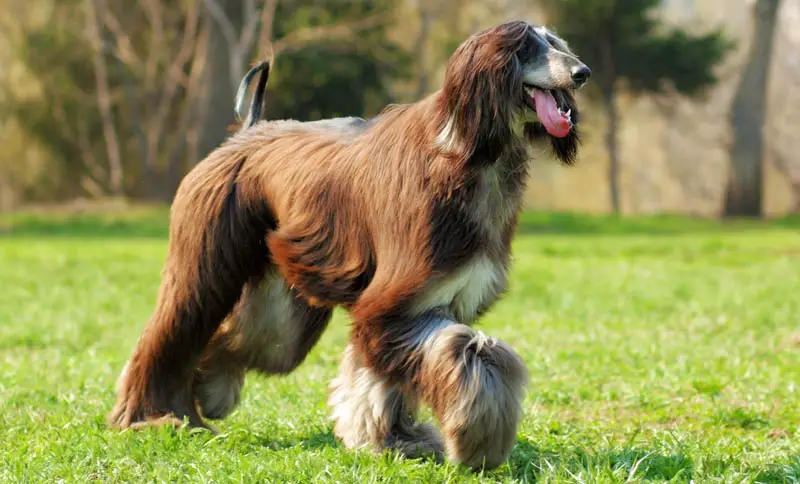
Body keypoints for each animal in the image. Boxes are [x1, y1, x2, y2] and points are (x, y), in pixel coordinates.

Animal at [108, 20, 588, 470]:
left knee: (245, 339)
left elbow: (385, 378)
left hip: (284, 303)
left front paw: (394, 440)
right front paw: (474, 442)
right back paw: (151, 417)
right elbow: (469, 356)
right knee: (171, 331)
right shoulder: (395, 300)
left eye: (555, 42)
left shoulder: (427, 302)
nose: (582, 73)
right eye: (525, 48)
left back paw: (208, 391)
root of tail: (246, 133)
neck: (471, 156)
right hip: (204, 261)